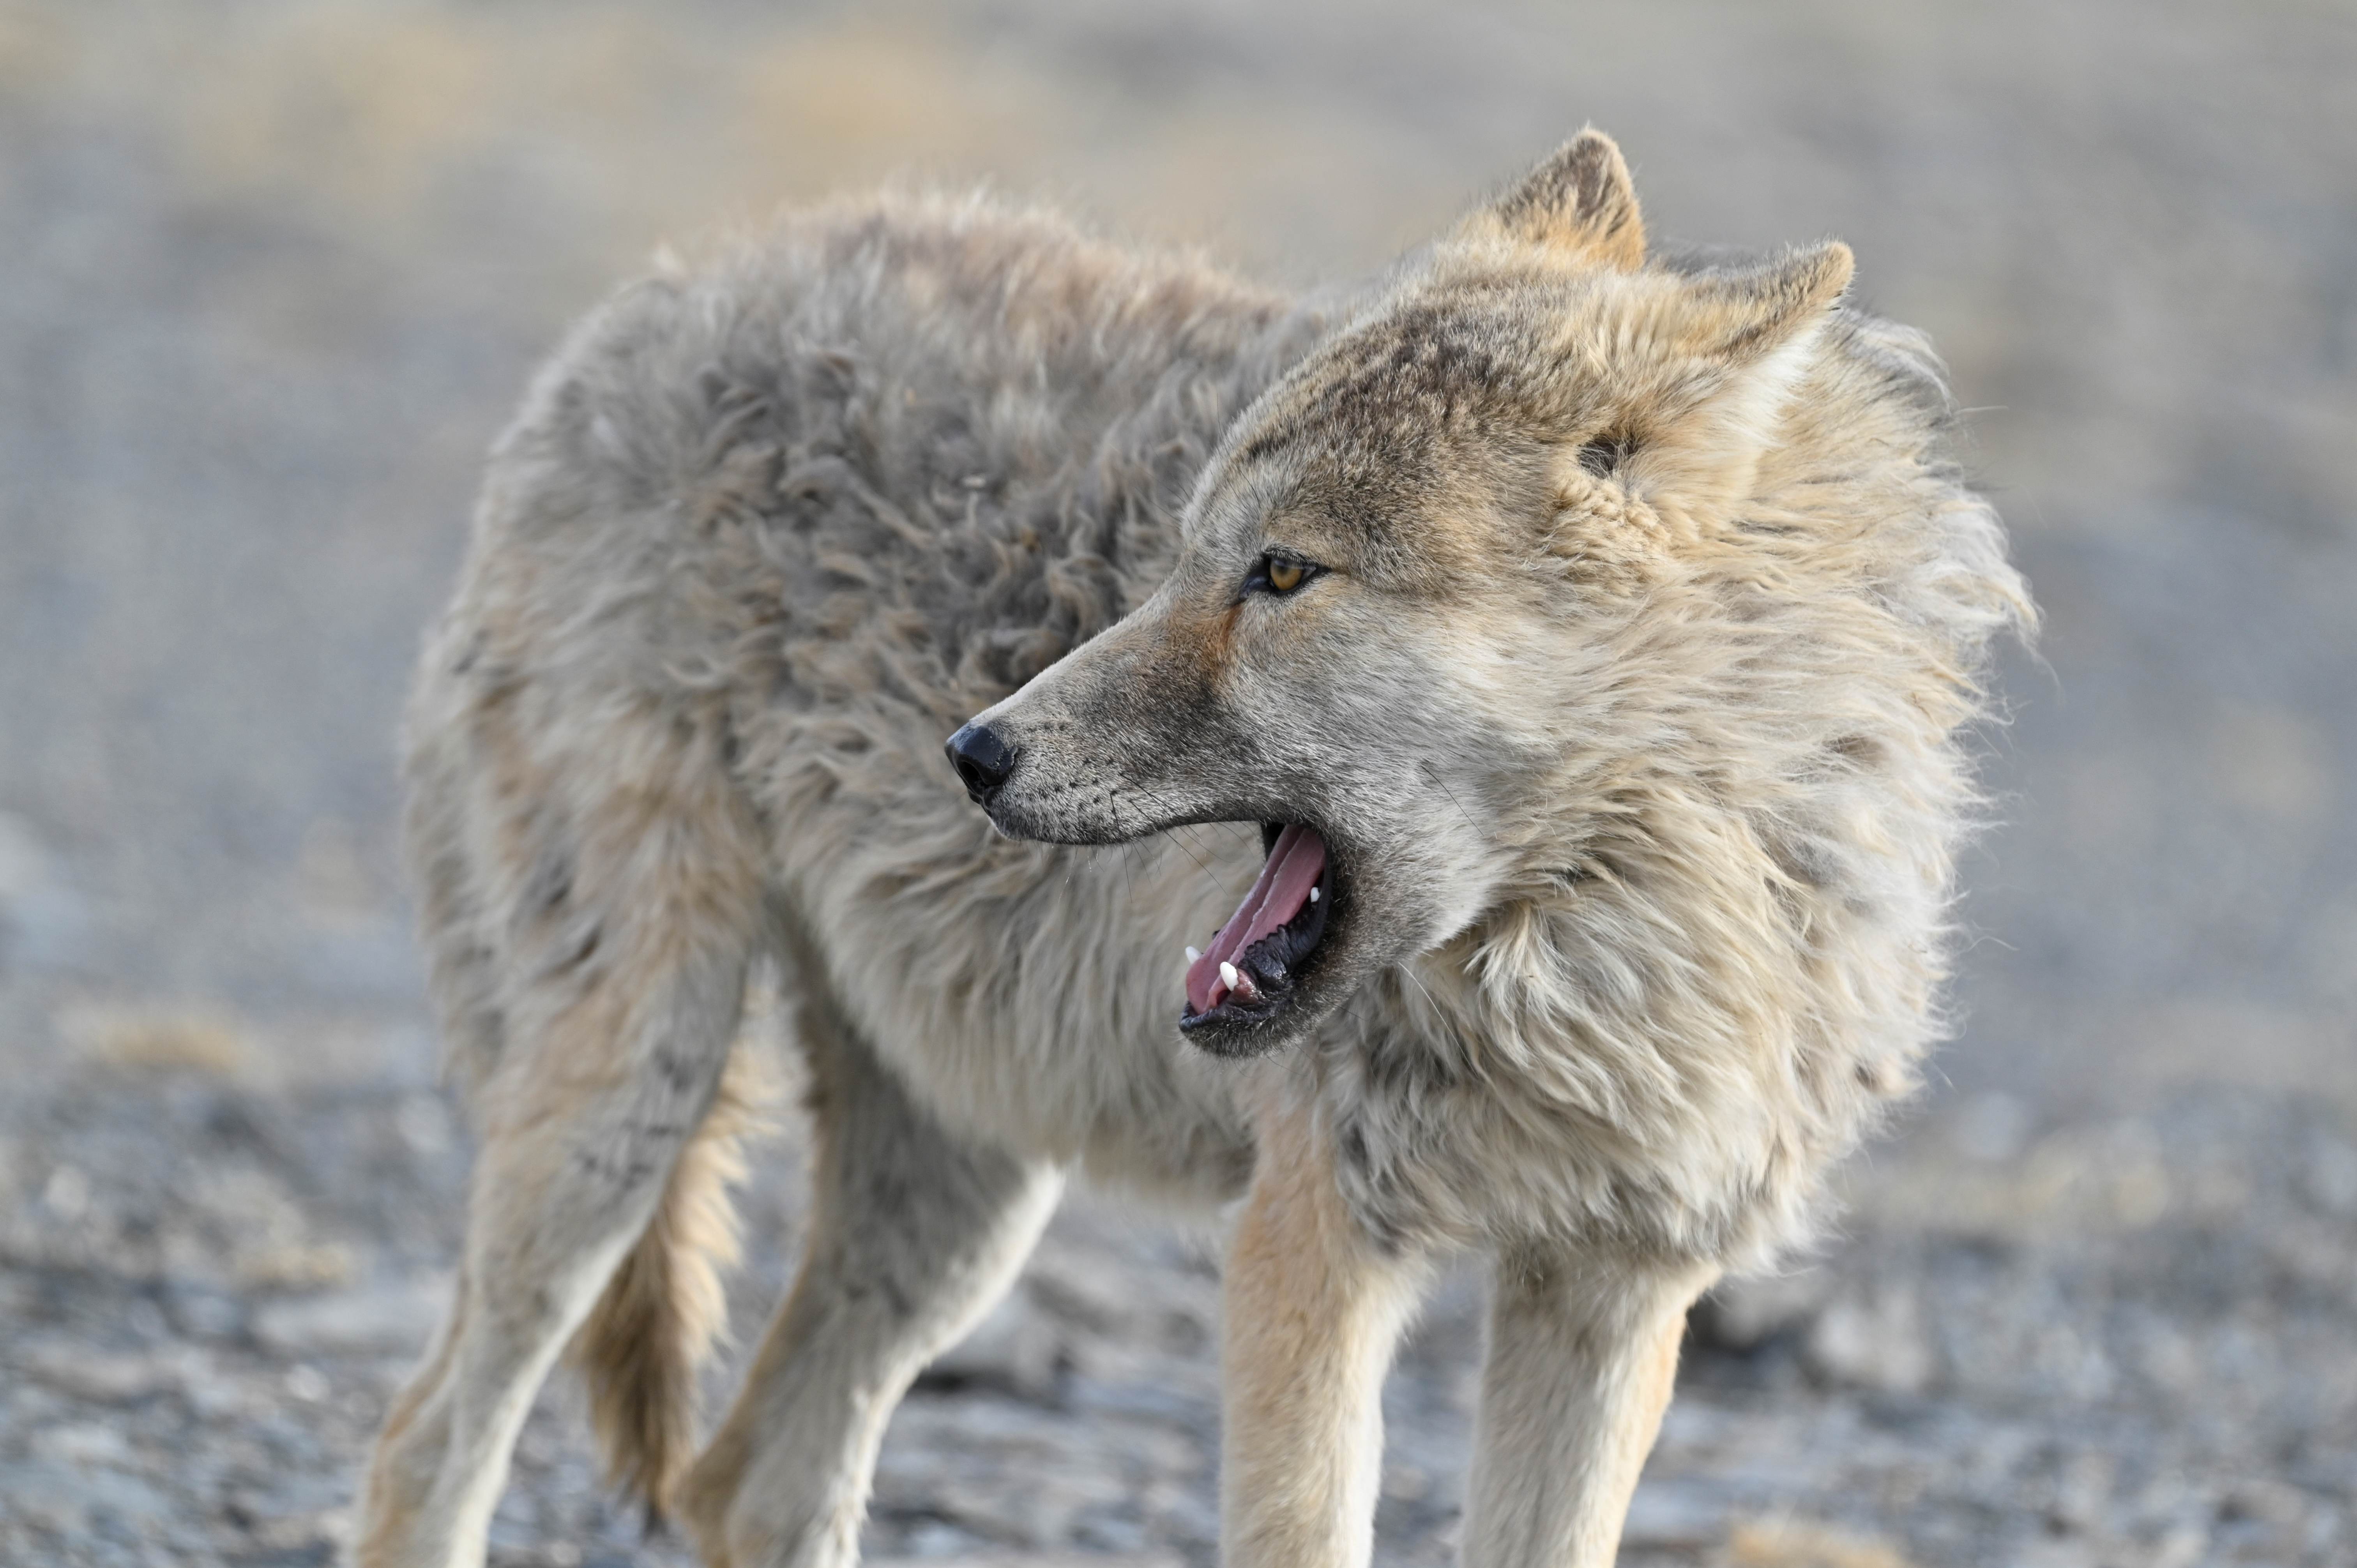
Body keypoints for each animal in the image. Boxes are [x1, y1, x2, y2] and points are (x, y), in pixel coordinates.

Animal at [355, 131, 2030, 1568]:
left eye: (1280, 573)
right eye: (1180, 553)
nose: (971, 753)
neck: (1597, 951)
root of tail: (660, 290)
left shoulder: (1612, 1288)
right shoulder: (1308, 1248)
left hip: (953, 1218)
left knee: (751, 1473)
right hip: (626, 1104)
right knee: (425, 1436)